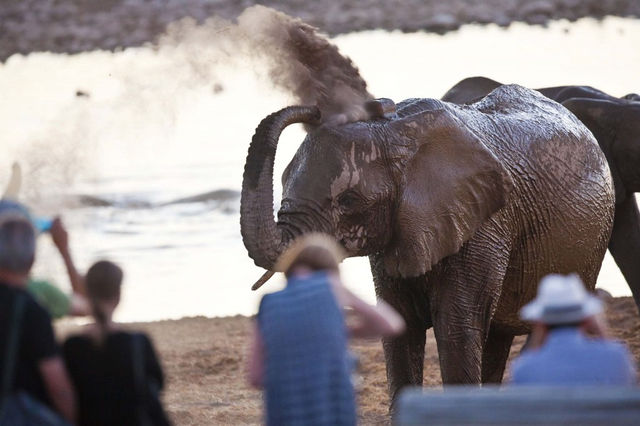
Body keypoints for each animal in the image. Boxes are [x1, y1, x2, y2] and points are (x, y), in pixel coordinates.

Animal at [240, 83, 616, 402]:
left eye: (348, 201)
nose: (317, 110)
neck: (395, 131)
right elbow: (400, 327)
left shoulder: (484, 224)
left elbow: (457, 330)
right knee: (497, 338)